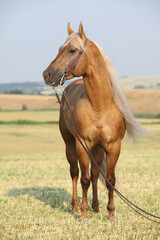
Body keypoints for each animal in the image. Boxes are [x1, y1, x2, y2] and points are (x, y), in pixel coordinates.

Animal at [42, 23, 144, 221]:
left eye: (72, 50)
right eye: (59, 48)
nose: (47, 74)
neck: (99, 107)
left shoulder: (113, 146)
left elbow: (109, 180)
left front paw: (111, 214)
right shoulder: (82, 145)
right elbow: (84, 180)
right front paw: (83, 213)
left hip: (97, 148)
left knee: (96, 175)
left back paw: (96, 207)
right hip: (70, 144)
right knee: (74, 173)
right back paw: (75, 207)